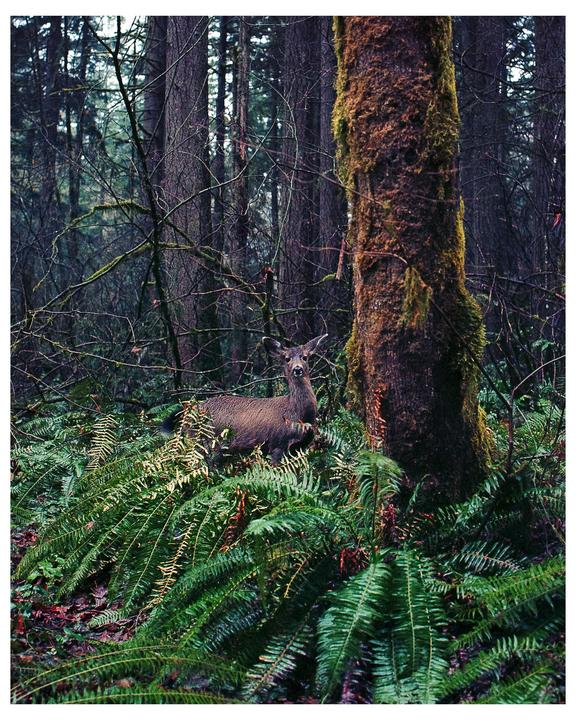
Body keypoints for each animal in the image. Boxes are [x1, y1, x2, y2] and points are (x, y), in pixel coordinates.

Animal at [161, 334, 328, 464]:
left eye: (305, 357)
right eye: (286, 359)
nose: (297, 369)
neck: (297, 414)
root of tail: (189, 411)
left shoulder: (301, 446)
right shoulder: (277, 443)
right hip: (204, 441)